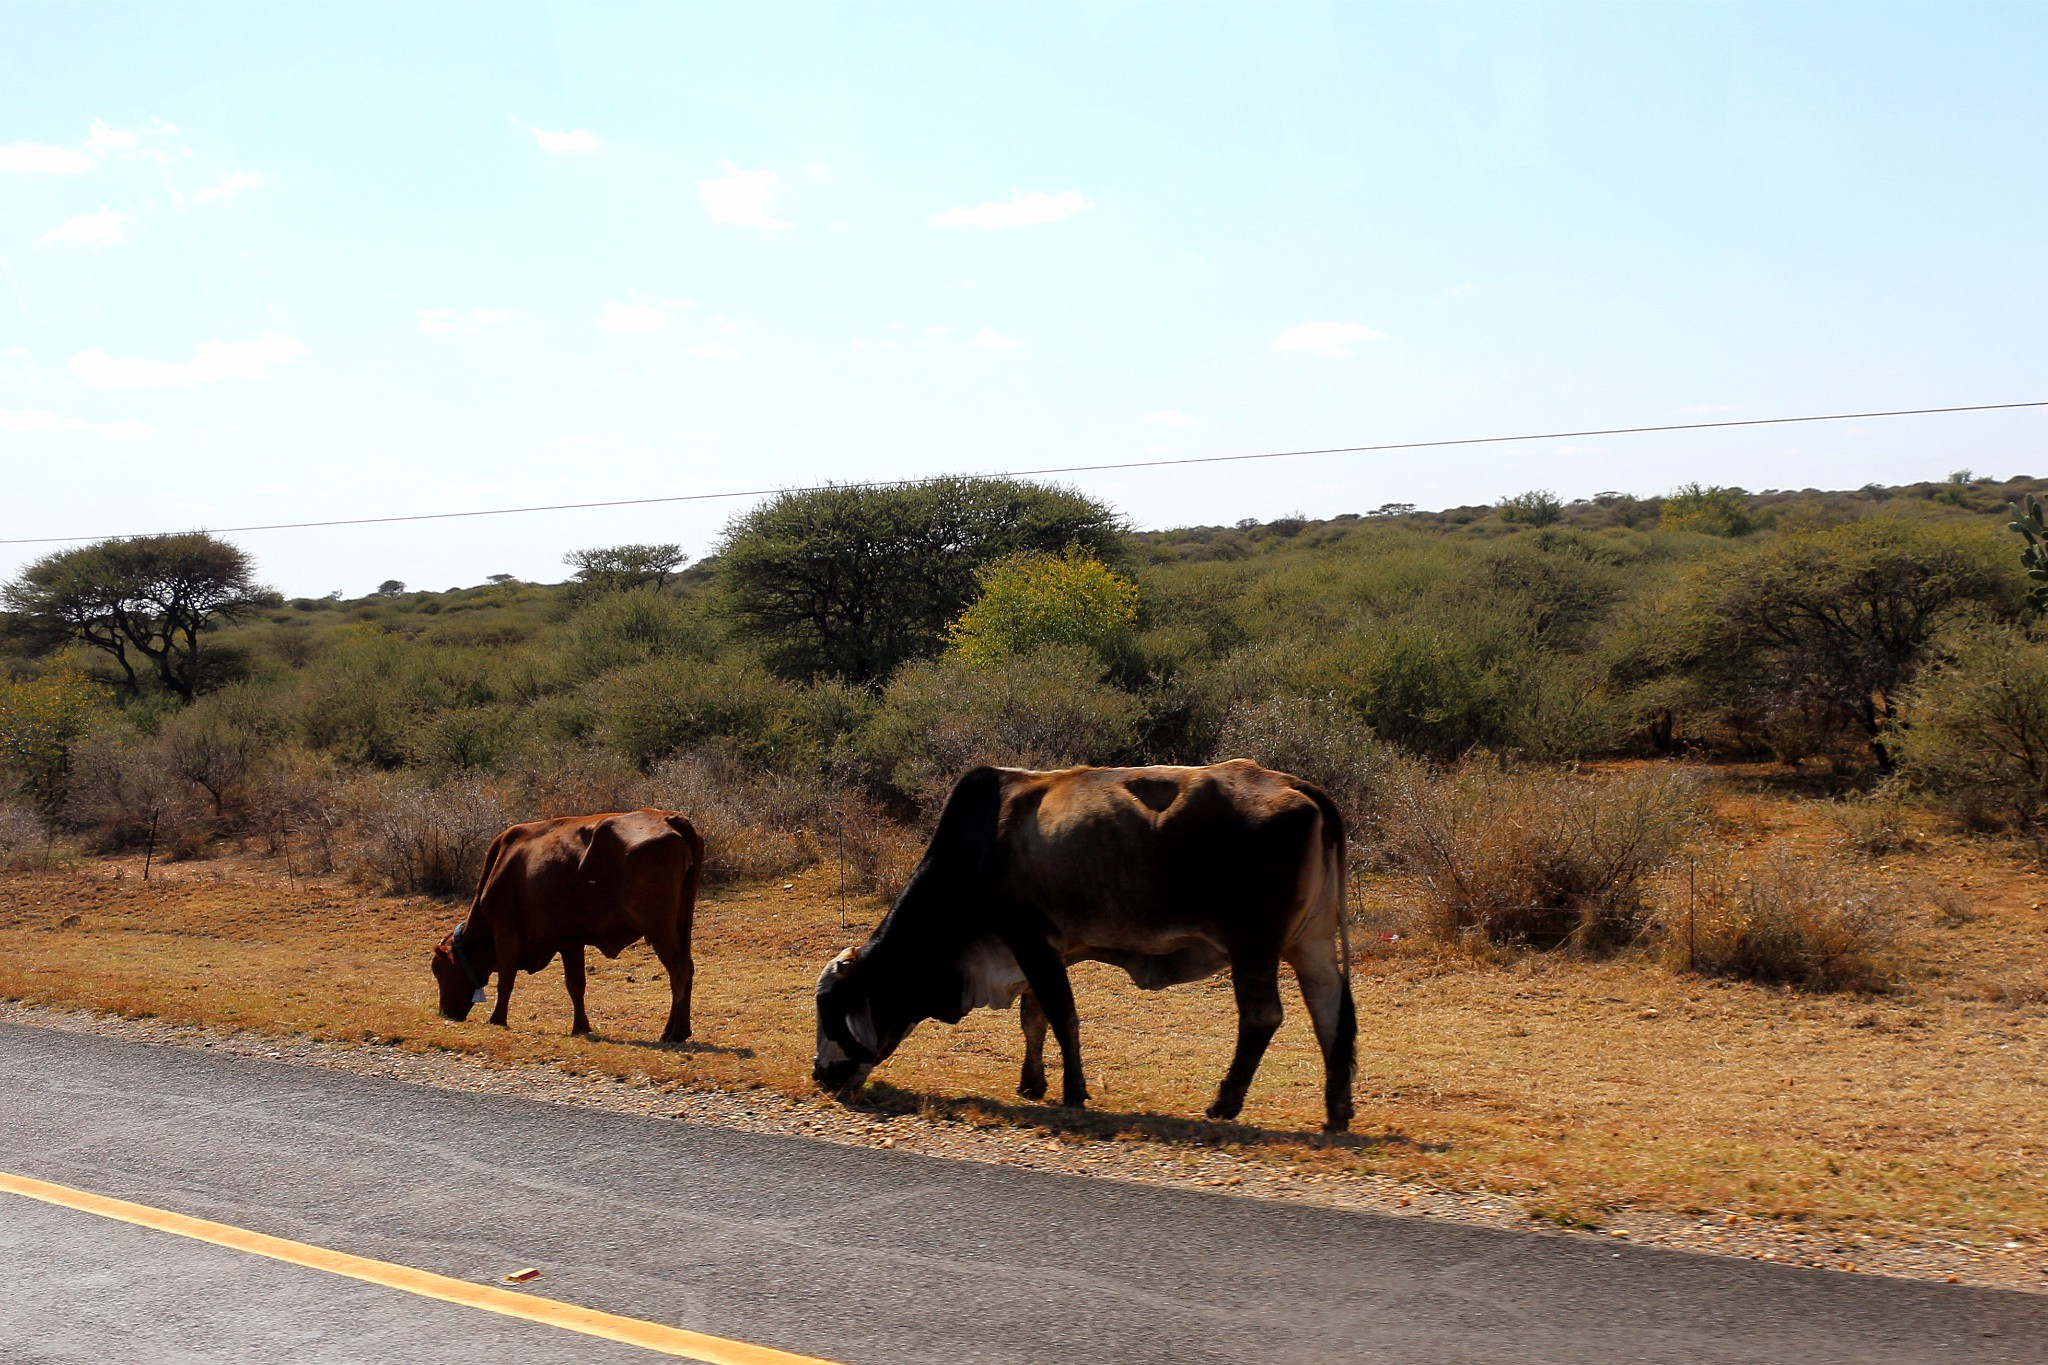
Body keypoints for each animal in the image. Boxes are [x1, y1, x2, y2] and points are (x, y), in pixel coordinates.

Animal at [425, 810, 704, 1047]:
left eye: (440, 970)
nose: (445, 1013)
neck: (505, 865)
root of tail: (667, 817)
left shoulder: (506, 935)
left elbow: (505, 981)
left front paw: (497, 1019)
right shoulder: (570, 942)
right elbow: (575, 985)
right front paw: (580, 1027)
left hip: (660, 931)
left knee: (678, 971)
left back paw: (673, 1033)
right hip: (680, 929)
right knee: (687, 969)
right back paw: (678, 1031)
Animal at [815, 765, 1359, 1137]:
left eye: (832, 1009)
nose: (820, 1075)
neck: (978, 852)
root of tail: (1294, 785)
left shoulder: (1031, 942)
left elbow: (1062, 1017)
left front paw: (1073, 1093)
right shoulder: (1046, 954)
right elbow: (1035, 1017)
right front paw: (1031, 1084)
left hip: (1254, 948)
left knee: (1263, 1017)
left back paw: (1224, 1104)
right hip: (1311, 943)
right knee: (1330, 1012)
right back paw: (1336, 1112)